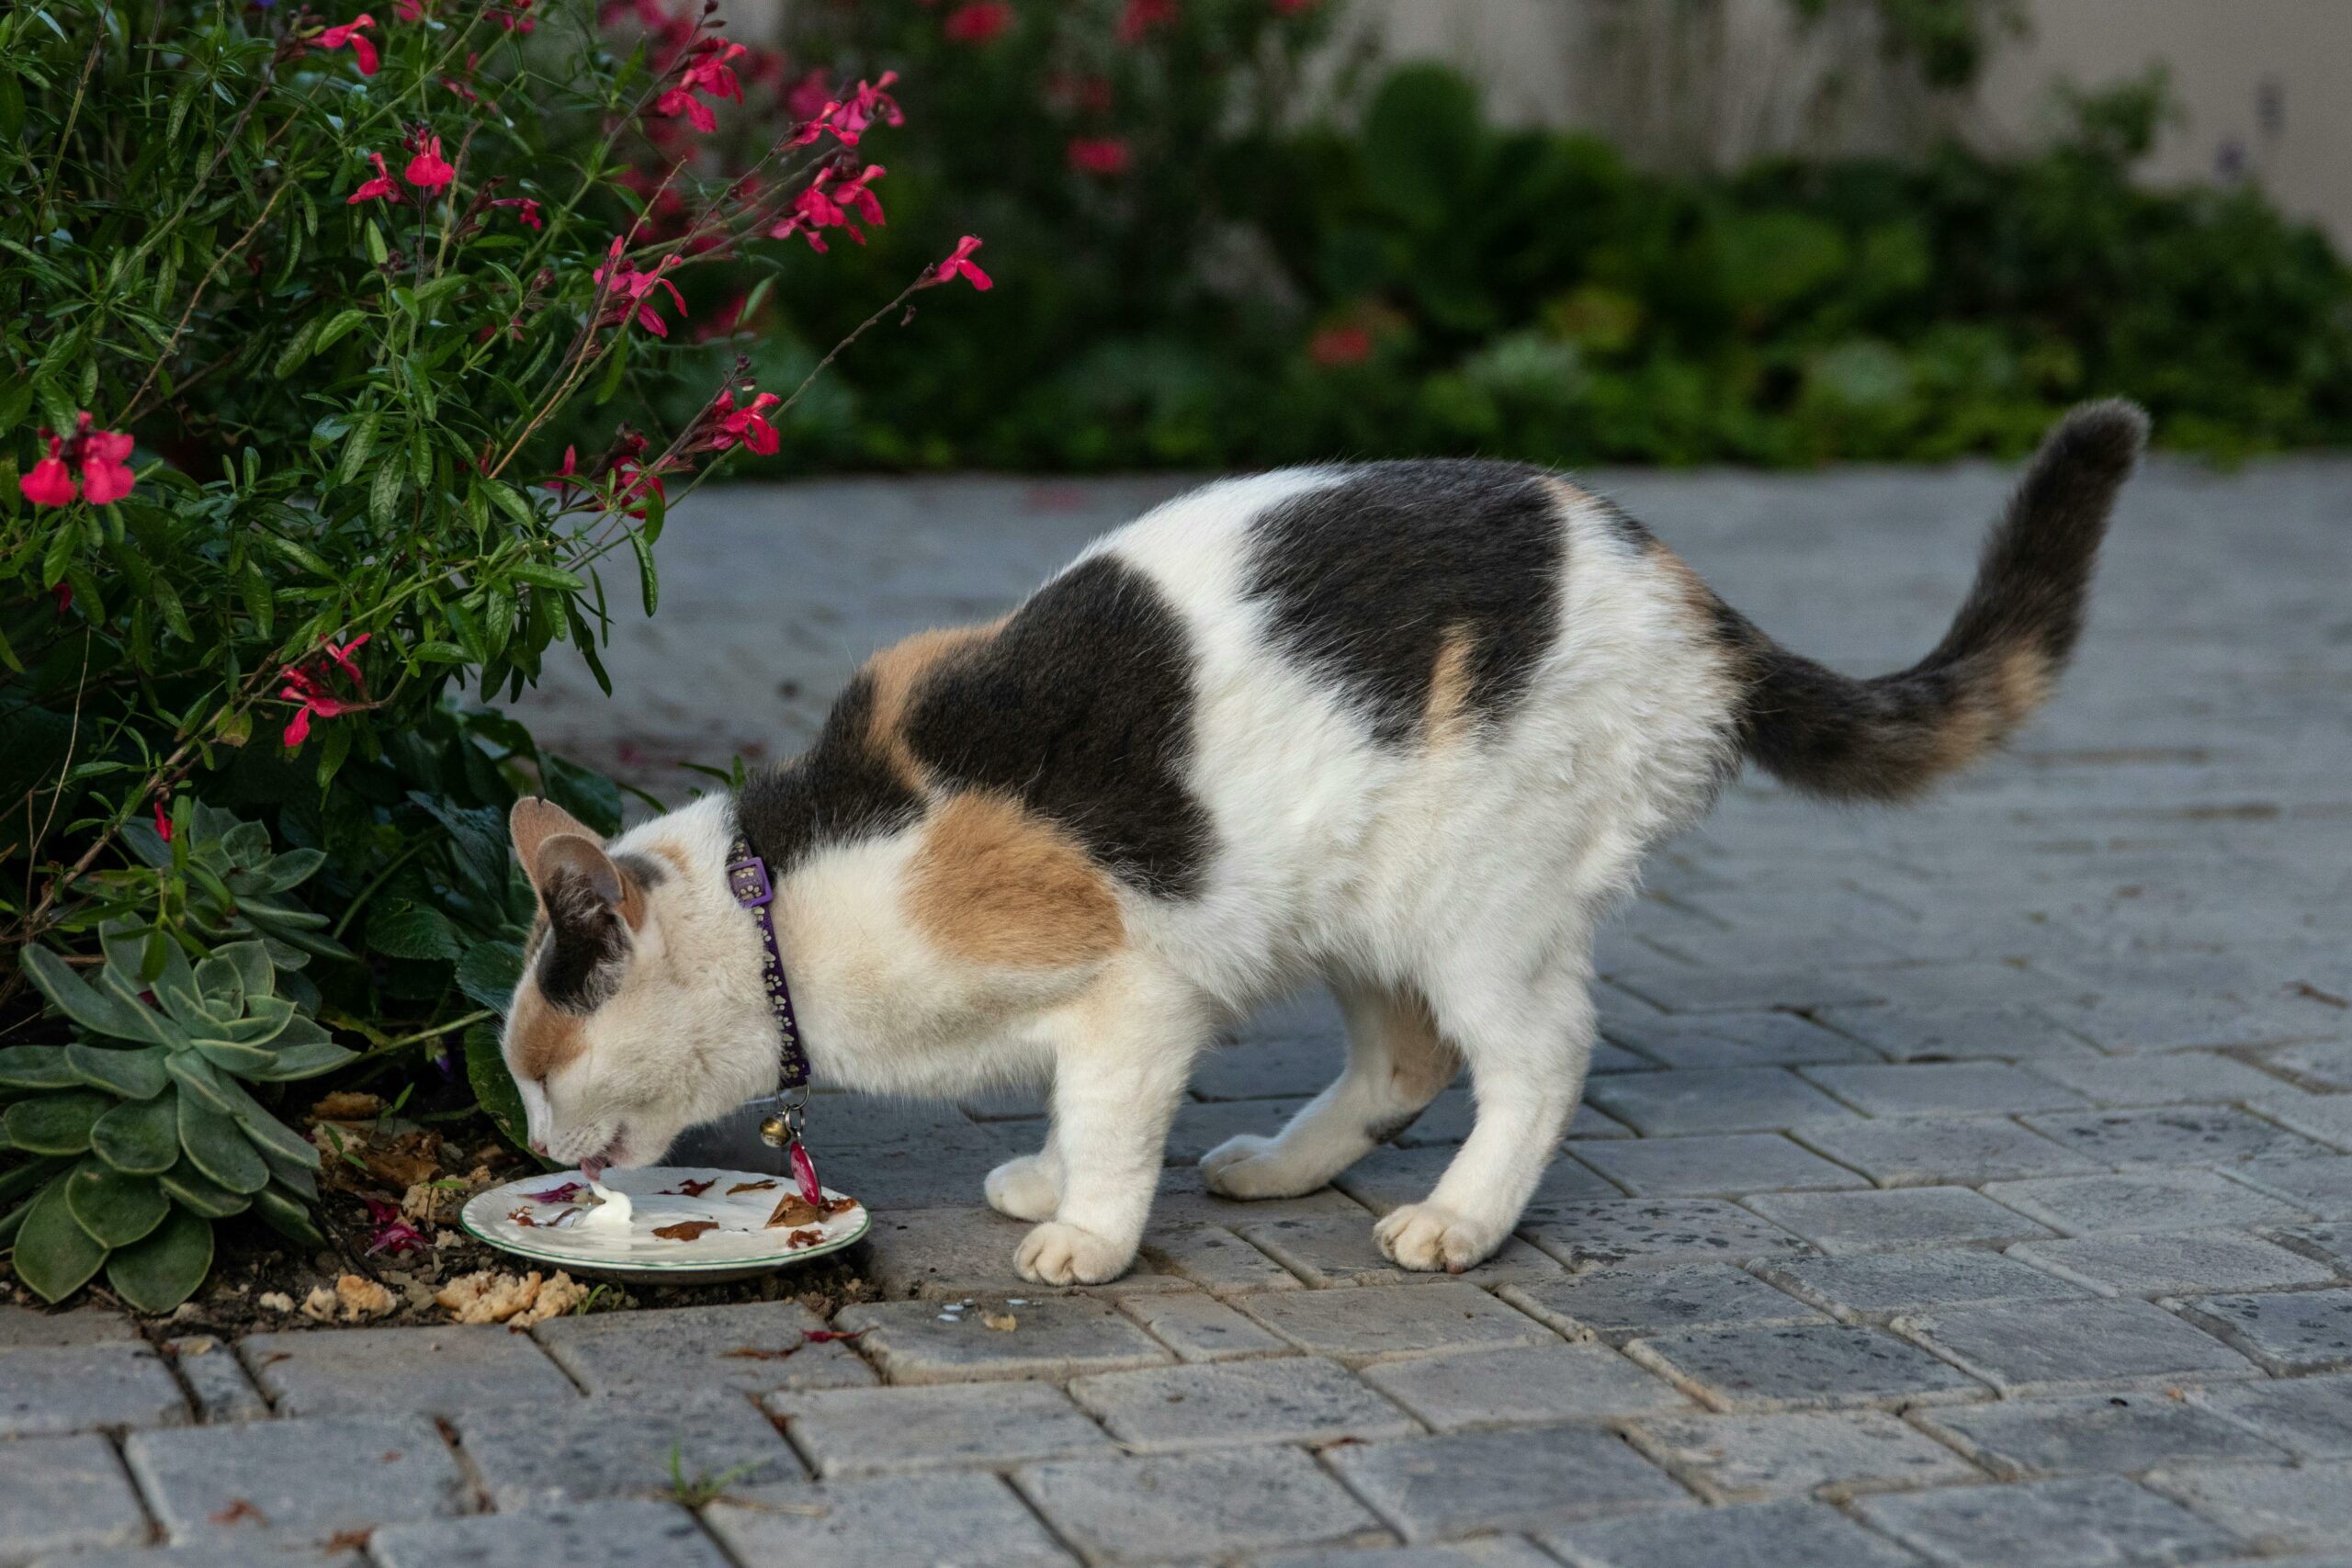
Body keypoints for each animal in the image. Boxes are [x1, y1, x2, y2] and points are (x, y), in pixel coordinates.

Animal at [496, 401, 2154, 1288]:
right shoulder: (1128, 992)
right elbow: (1075, 1104)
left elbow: (1109, 1113)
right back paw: (1285, 1167)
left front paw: (1086, 1230)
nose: (524, 1143)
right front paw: (1049, 1181)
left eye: (537, 1062)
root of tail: (1677, 583)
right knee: (1408, 1055)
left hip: (1476, 893)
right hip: (1352, 897)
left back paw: (1459, 1219)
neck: (786, 892)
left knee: (1538, 1052)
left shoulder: (1132, 988)